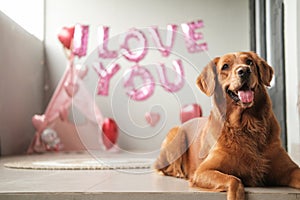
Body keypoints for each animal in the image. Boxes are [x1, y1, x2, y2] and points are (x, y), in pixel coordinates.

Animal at [155, 52, 300, 200]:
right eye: (225, 66)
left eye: (250, 62)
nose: (244, 70)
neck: (247, 124)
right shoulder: (202, 171)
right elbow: (234, 179)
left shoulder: (290, 169)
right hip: (175, 136)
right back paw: (178, 172)